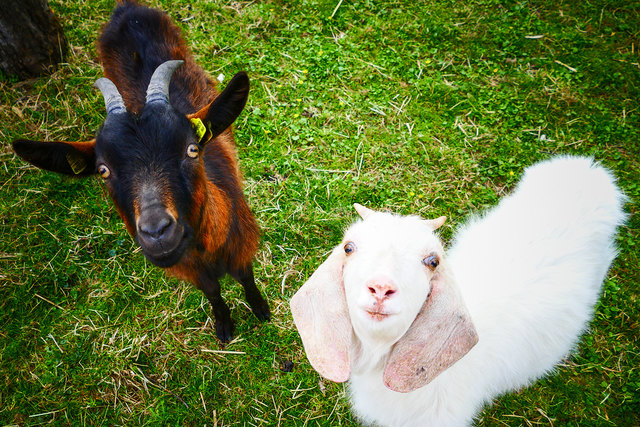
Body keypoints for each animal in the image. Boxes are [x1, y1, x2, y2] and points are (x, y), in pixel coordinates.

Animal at [12, 0, 268, 342]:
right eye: (103, 170)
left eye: (191, 149)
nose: (157, 232)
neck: (206, 251)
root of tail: (125, 7)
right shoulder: (193, 272)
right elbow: (213, 292)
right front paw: (224, 326)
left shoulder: (241, 242)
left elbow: (246, 277)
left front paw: (261, 310)